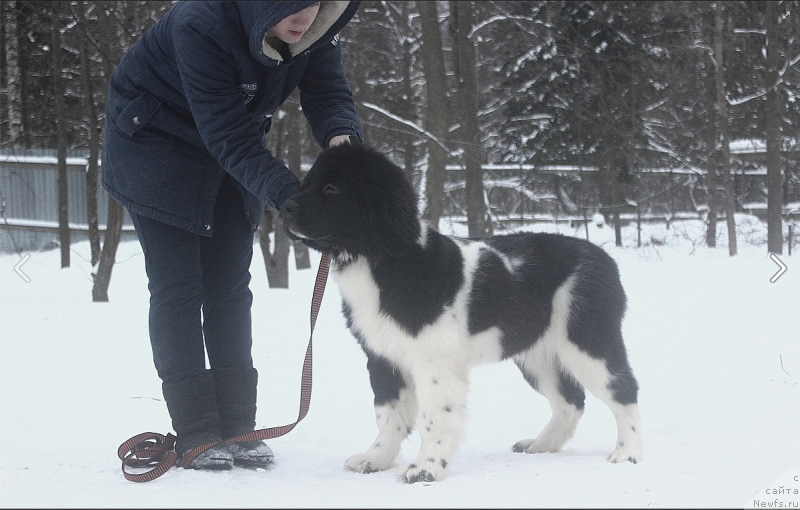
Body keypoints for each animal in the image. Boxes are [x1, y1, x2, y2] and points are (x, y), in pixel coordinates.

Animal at [282, 143, 644, 482]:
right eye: (307, 183)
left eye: (332, 189)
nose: (285, 206)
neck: (379, 262)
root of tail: (603, 257)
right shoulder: (382, 356)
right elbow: (388, 413)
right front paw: (377, 459)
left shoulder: (434, 359)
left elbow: (434, 416)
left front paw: (426, 469)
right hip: (538, 353)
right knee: (570, 401)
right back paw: (541, 445)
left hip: (588, 340)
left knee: (623, 390)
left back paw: (627, 453)